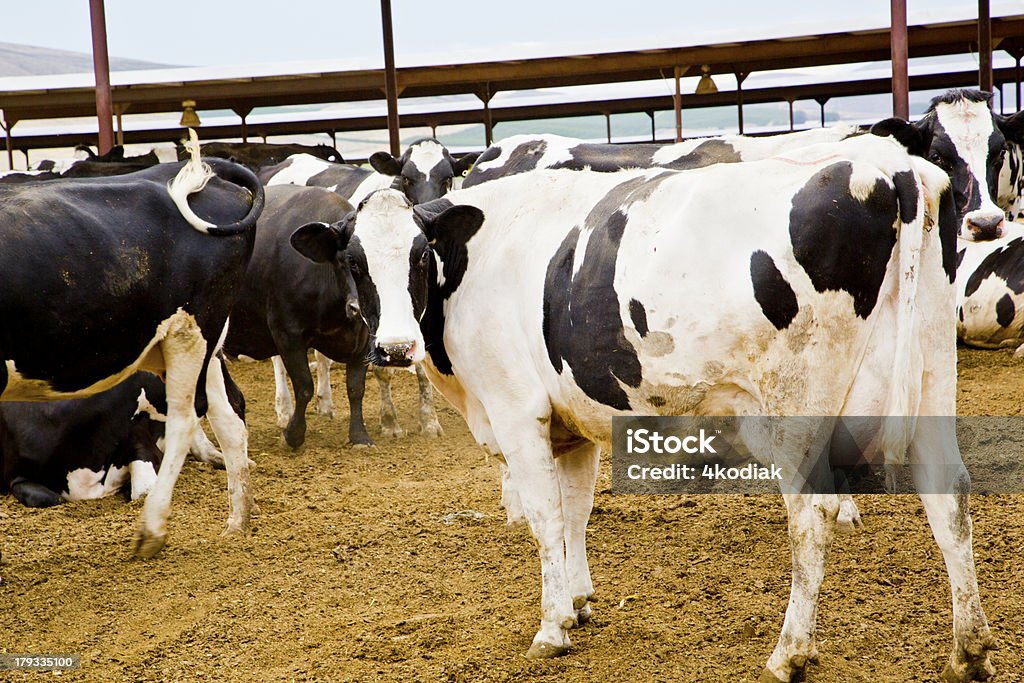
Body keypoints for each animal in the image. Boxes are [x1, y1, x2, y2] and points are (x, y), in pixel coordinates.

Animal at [0, 136, 268, 557]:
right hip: (202, 342)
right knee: (228, 418)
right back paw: (238, 520)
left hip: (191, 332)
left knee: (186, 419)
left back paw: (152, 530)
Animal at [223, 185, 372, 448]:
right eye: (351, 261)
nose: (358, 308)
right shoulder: (287, 333)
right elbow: (304, 386)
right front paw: (294, 434)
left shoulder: (362, 338)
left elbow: (356, 387)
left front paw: (359, 435)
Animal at [292, 135, 995, 683]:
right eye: (353, 262)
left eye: (419, 256)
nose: (392, 347)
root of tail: (890, 168)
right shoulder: (570, 425)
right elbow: (575, 511)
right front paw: (577, 601)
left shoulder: (518, 413)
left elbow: (545, 516)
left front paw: (551, 628)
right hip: (931, 377)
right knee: (949, 494)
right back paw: (969, 650)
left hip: (797, 407)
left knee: (813, 515)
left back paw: (790, 653)